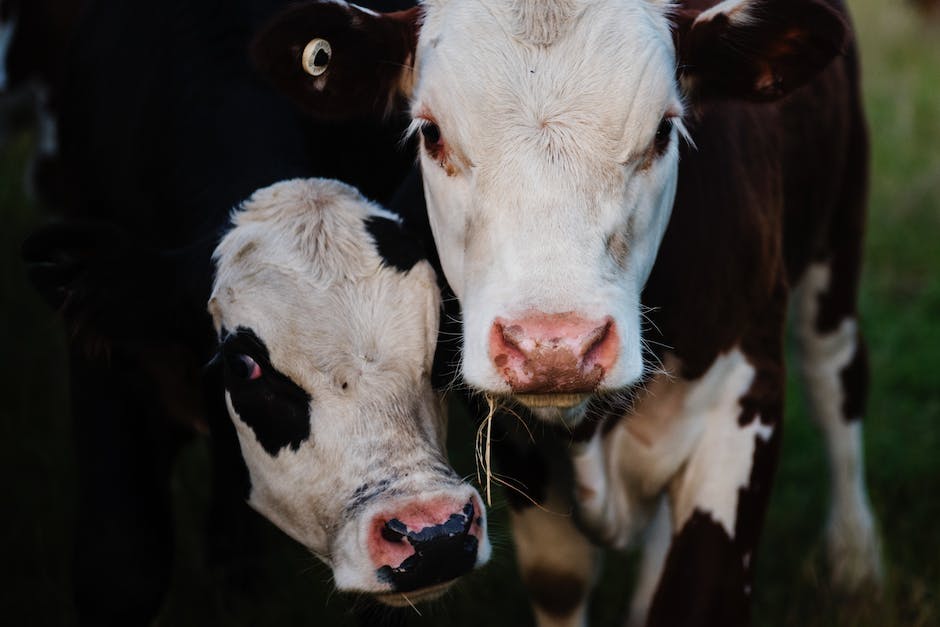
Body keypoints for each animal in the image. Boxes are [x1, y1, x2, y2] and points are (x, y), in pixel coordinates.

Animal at [252, 2, 880, 624]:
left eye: (664, 131)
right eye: (431, 133)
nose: (553, 348)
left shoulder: (745, 397)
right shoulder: (517, 443)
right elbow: (561, 578)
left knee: (834, 372)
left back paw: (854, 555)